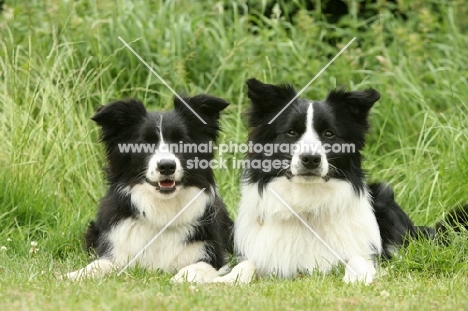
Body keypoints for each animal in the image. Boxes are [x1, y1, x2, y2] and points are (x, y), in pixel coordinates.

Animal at [66, 95, 234, 282]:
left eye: (181, 141)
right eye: (145, 143)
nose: (167, 166)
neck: (162, 211)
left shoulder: (212, 255)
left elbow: (195, 267)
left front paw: (179, 280)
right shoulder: (117, 249)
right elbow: (99, 264)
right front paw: (74, 275)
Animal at [214, 78, 466, 286]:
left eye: (329, 134)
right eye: (291, 132)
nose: (311, 159)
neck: (307, 203)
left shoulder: (363, 251)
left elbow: (358, 258)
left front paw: (357, 277)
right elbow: (248, 263)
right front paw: (230, 277)